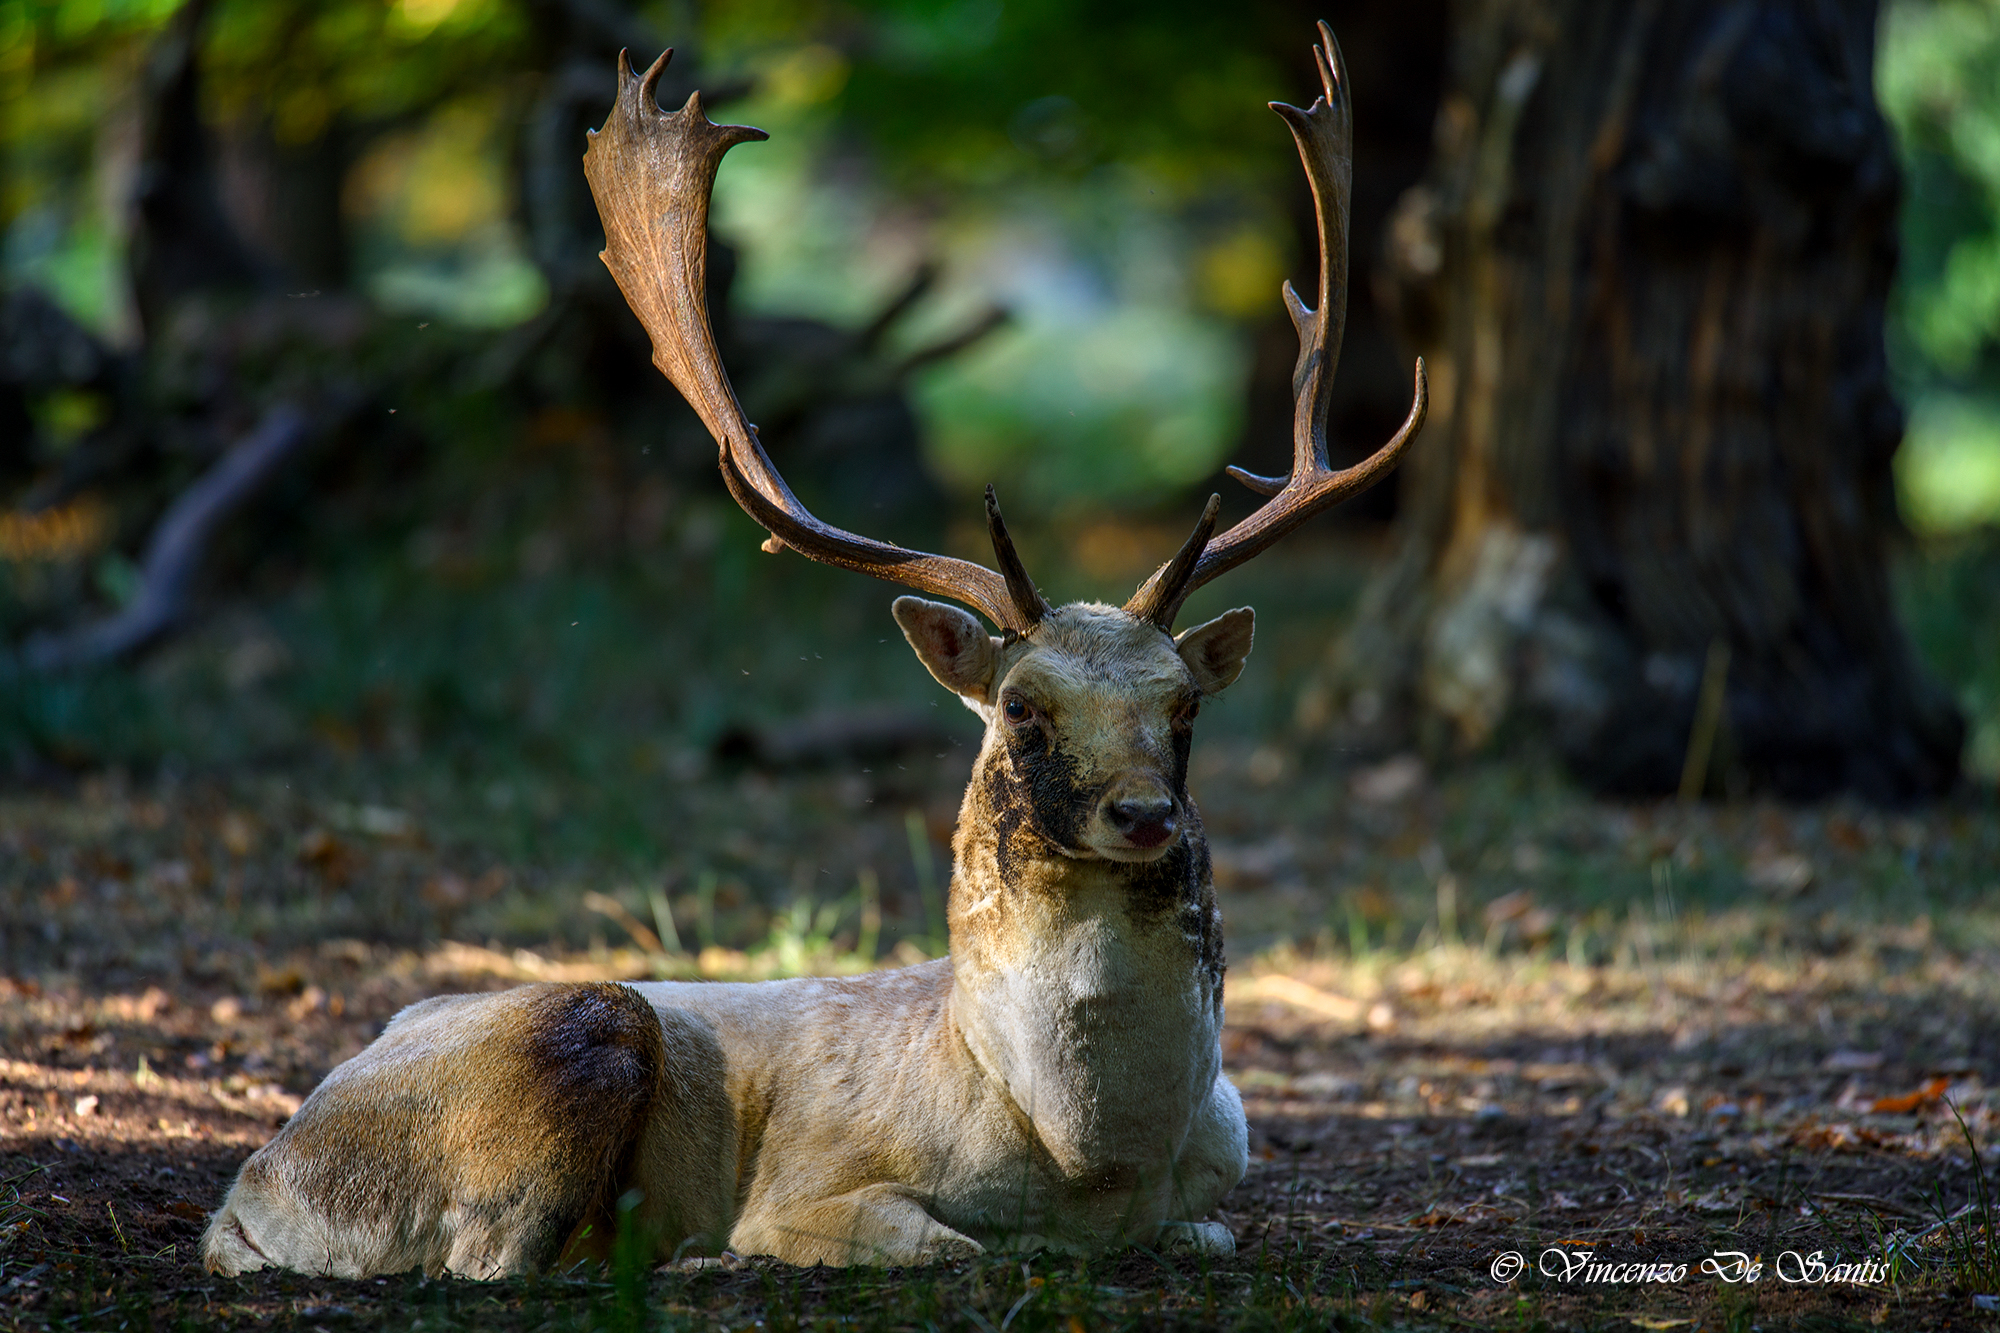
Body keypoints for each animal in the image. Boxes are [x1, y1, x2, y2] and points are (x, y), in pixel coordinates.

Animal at [200, 21, 1424, 1278]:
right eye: (1021, 705)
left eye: (1182, 704)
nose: (1141, 812)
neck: (1084, 1160)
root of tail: (251, 1185)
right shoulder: (812, 1187)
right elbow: (950, 1245)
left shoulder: (1213, 1191)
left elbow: (1210, 1232)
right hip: (573, 1026)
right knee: (491, 1252)